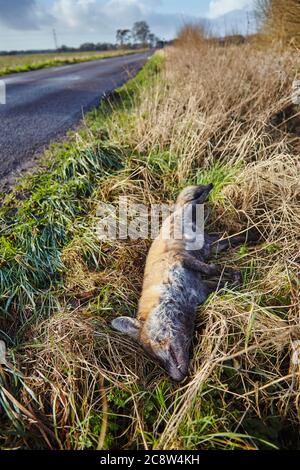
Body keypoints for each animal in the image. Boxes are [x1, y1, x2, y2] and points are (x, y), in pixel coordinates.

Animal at [112, 184, 258, 382]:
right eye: (154, 358)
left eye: (155, 346)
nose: (176, 378)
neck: (180, 294)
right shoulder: (203, 290)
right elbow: (225, 280)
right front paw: (236, 276)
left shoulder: (179, 259)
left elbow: (211, 269)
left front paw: (229, 271)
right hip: (212, 244)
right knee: (227, 238)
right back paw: (251, 235)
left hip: (195, 214)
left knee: (197, 197)